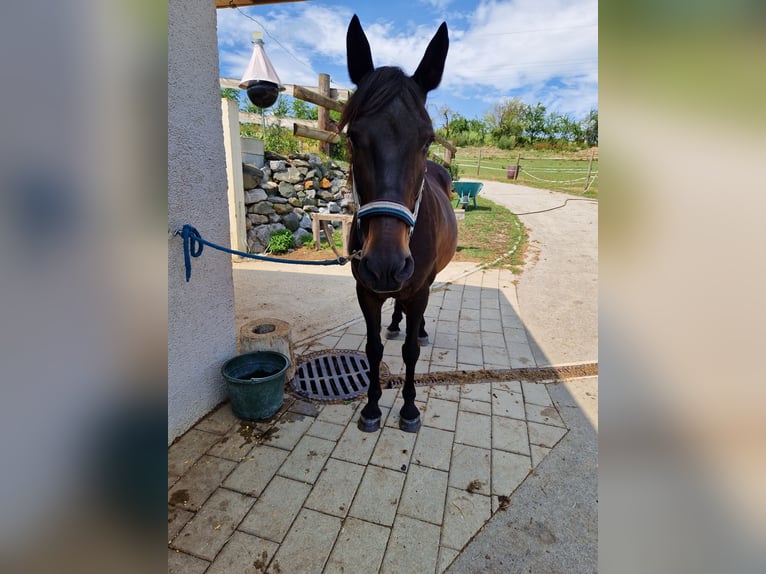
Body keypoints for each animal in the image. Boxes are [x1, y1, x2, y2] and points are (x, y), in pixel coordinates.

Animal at [340, 15, 457, 433]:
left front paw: (408, 408)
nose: (386, 264)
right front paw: (372, 406)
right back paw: (395, 320)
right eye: (353, 138)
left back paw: (417, 328)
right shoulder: (366, 292)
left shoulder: (418, 288)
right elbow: (373, 349)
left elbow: (408, 352)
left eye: (427, 140)